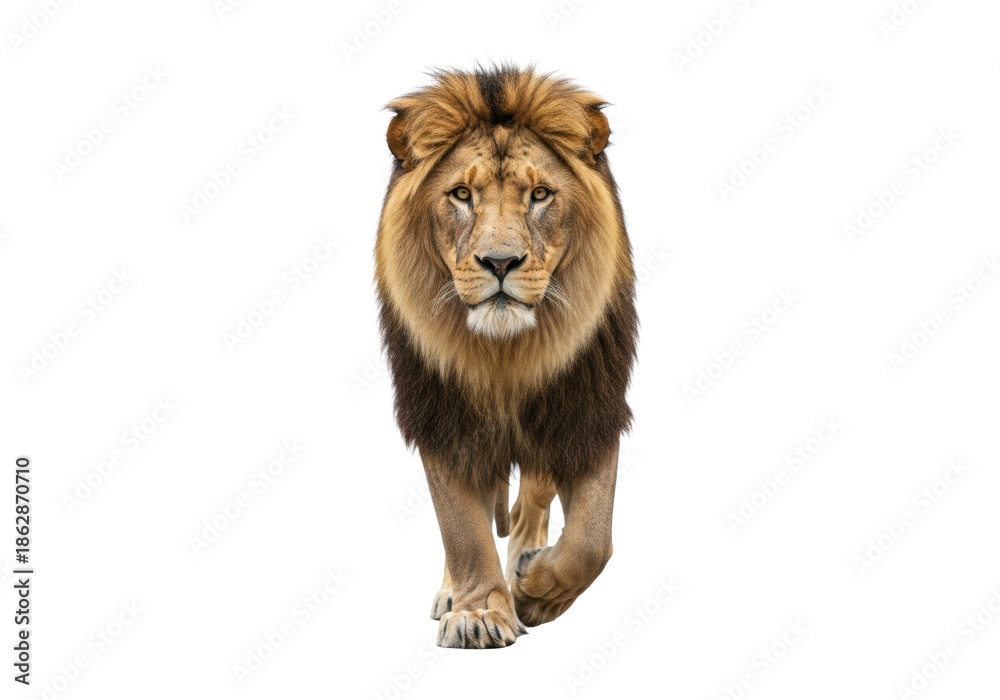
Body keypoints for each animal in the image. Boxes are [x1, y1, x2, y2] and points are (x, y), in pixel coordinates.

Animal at [374, 65, 637, 649]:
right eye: (461, 194)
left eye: (539, 194)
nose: (499, 262)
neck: (505, 356)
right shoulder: (442, 416)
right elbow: (461, 528)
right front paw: (476, 611)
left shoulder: (585, 407)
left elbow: (593, 541)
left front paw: (535, 591)